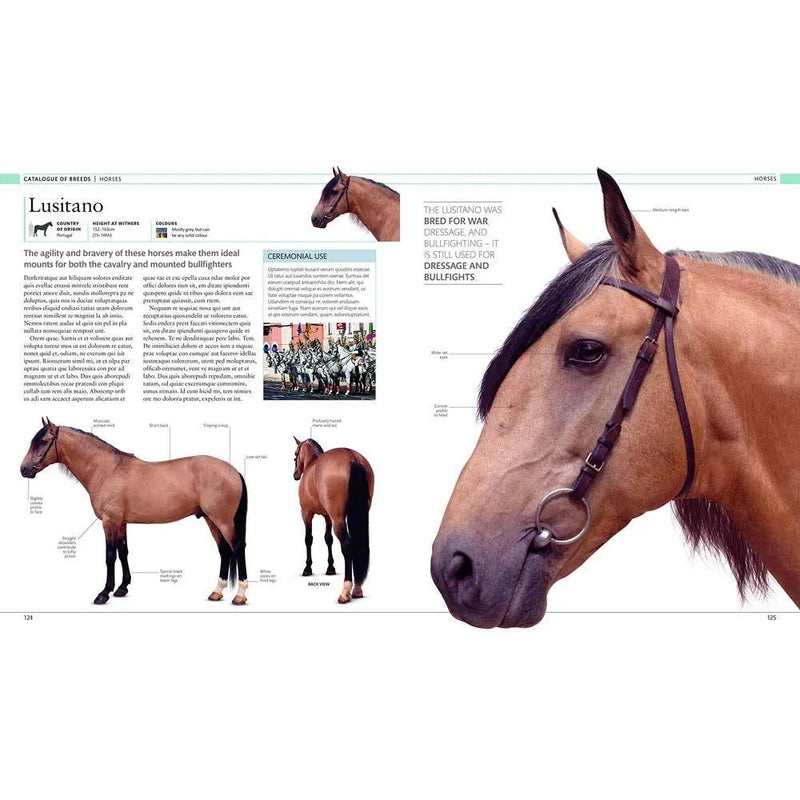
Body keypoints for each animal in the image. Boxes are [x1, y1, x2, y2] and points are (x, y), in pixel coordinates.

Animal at [20, 419, 249, 605]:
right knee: (224, 551)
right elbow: (123, 552)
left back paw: (240, 596)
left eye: (42, 441)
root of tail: (234, 471)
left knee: (237, 548)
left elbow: (110, 556)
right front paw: (122, 588)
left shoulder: (109, 522)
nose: (24, 469)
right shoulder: (121, 523)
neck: (106, 469)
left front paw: (104, 593)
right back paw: (216, 592)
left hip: (223, 521)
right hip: (212, 520)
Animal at [293, 437, 374, 603]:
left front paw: (307, 568)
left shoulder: (306, 514)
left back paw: (345, 591)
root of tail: (353, 458)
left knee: (347, 546)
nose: (295, 474)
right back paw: (357, 589)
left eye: (295, 454)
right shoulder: (327, 516)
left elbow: (308, 539)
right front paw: (330, 568)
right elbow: (328, 539)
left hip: (338, 519)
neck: (311, 464)